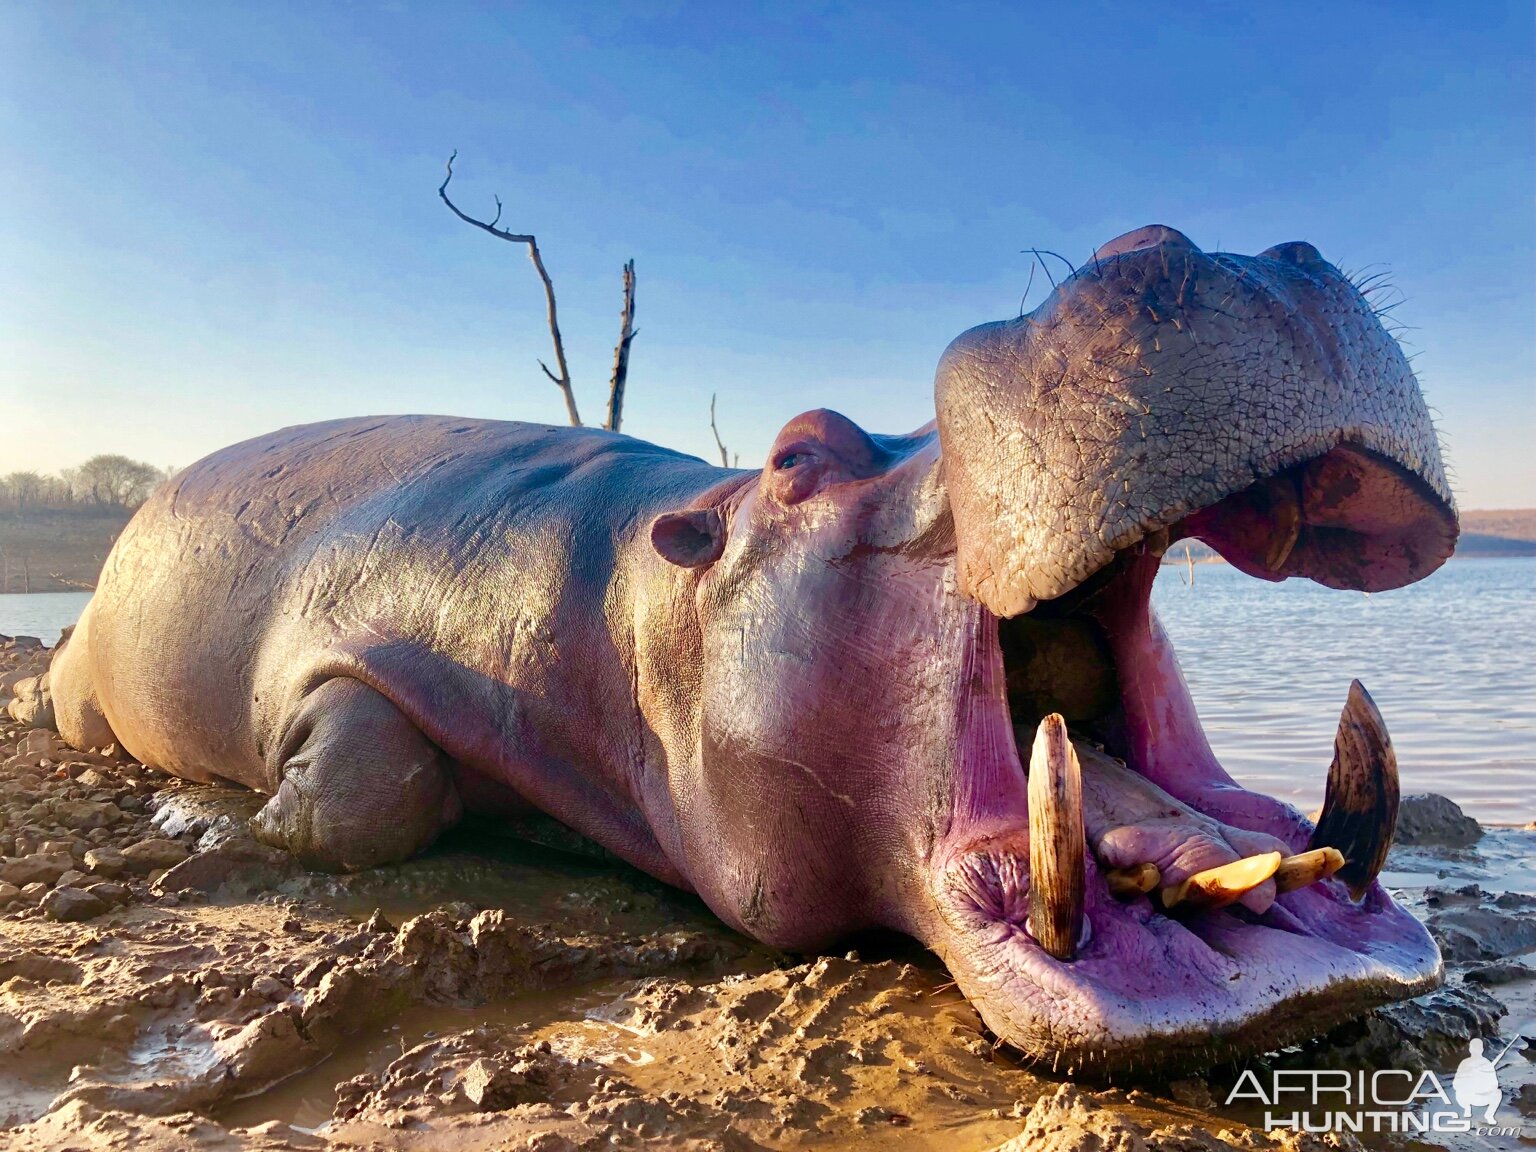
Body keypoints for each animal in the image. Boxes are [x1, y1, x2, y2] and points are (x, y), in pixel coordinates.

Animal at [48, 225, 1456, 1075]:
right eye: (796, 453)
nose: (1200, 251)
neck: (648, 598)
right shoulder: (365, 638)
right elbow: (363, 780)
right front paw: (236, 823)